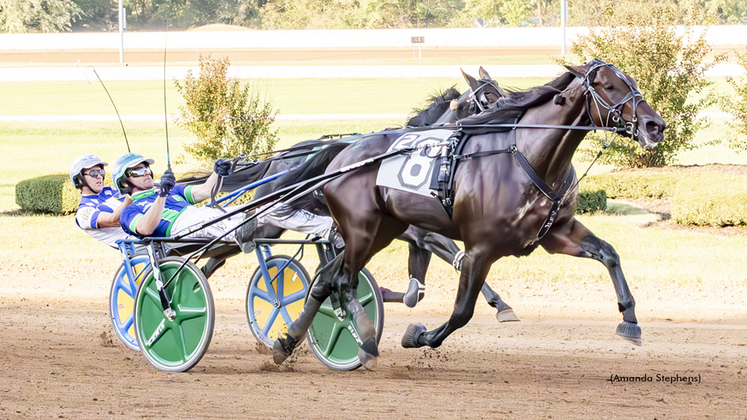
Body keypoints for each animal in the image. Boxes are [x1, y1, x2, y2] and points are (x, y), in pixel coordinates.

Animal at [274, 59, 668, 368]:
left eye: (632, 81)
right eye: (609, 86)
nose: (655, 125)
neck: (524, 154)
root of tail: (343, 152)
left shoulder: (557, 233)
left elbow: (609, 254)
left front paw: (630, 320)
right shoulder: (479, 248)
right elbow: (461, 311)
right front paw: (418, 335)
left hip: (381, 231)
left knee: (325, 280)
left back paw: (286, 342)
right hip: (361, 230)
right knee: (343, 281)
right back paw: (367, 342)